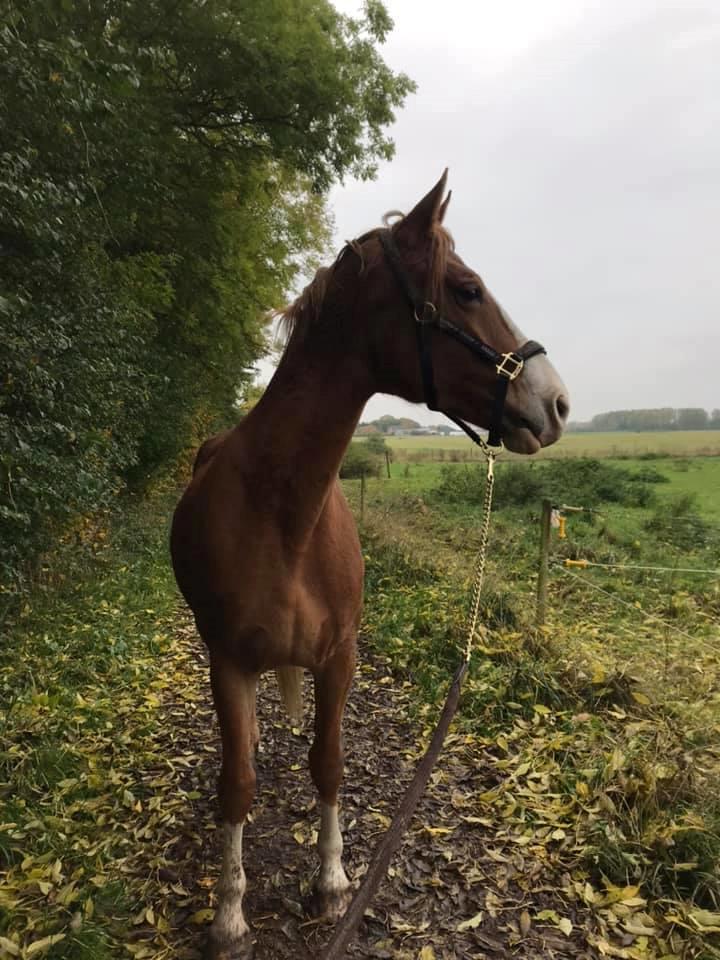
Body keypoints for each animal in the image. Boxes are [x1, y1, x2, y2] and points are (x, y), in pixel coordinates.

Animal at [172, 169, 572, 956]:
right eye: (467, 289)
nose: (557, 403)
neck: (284, 515)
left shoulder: (339, 657)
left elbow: (329, 765)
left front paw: (330, 883)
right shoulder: (228, 660)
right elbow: (237, 785)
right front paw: (229, 914)